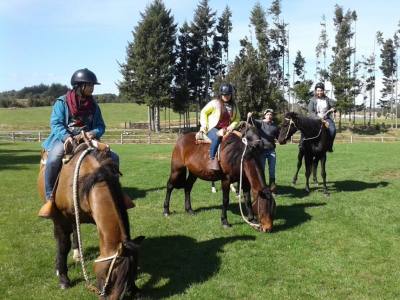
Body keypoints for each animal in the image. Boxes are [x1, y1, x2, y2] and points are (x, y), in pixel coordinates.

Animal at [37, 141, 144, 300]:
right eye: (112, 275)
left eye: (133, 272)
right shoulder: (62, 219)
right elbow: (63, 246)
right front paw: (63, 279)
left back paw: (77, 253)